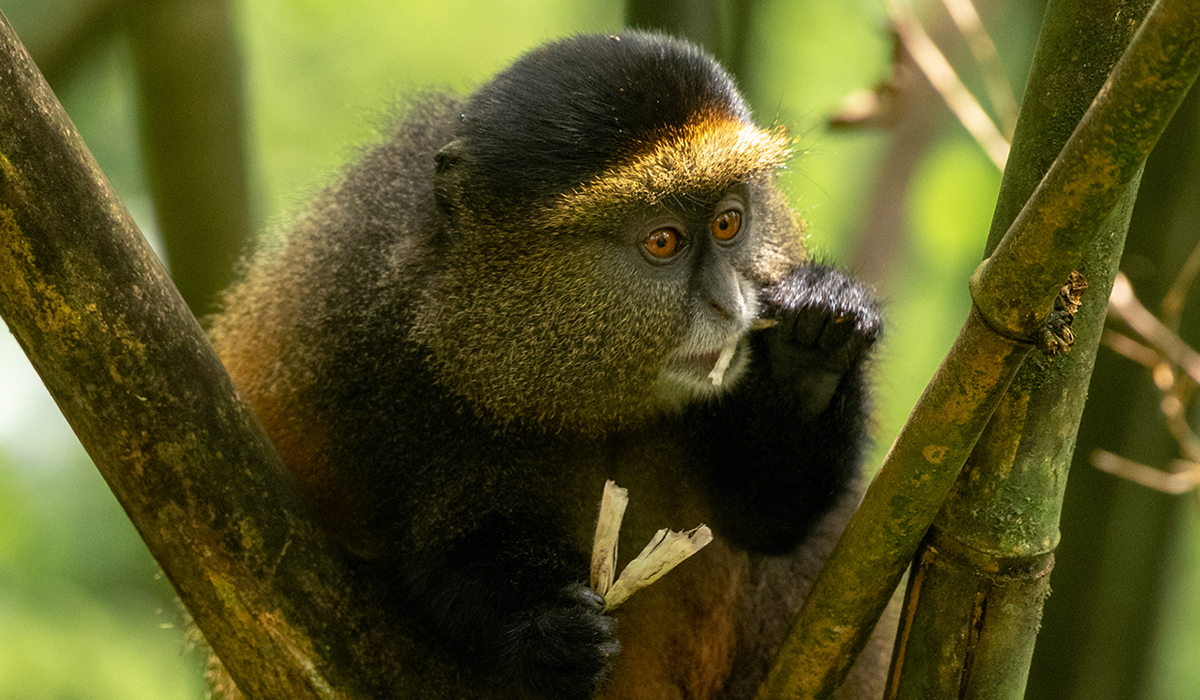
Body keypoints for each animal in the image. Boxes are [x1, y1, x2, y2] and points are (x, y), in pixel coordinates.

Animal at [208, 31, 888, 700]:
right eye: (662, 241)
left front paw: (809, 354)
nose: (729, 305)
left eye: (728, 223)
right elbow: (444, 557)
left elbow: (770, 521)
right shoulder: (362, 342)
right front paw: (543, 630)